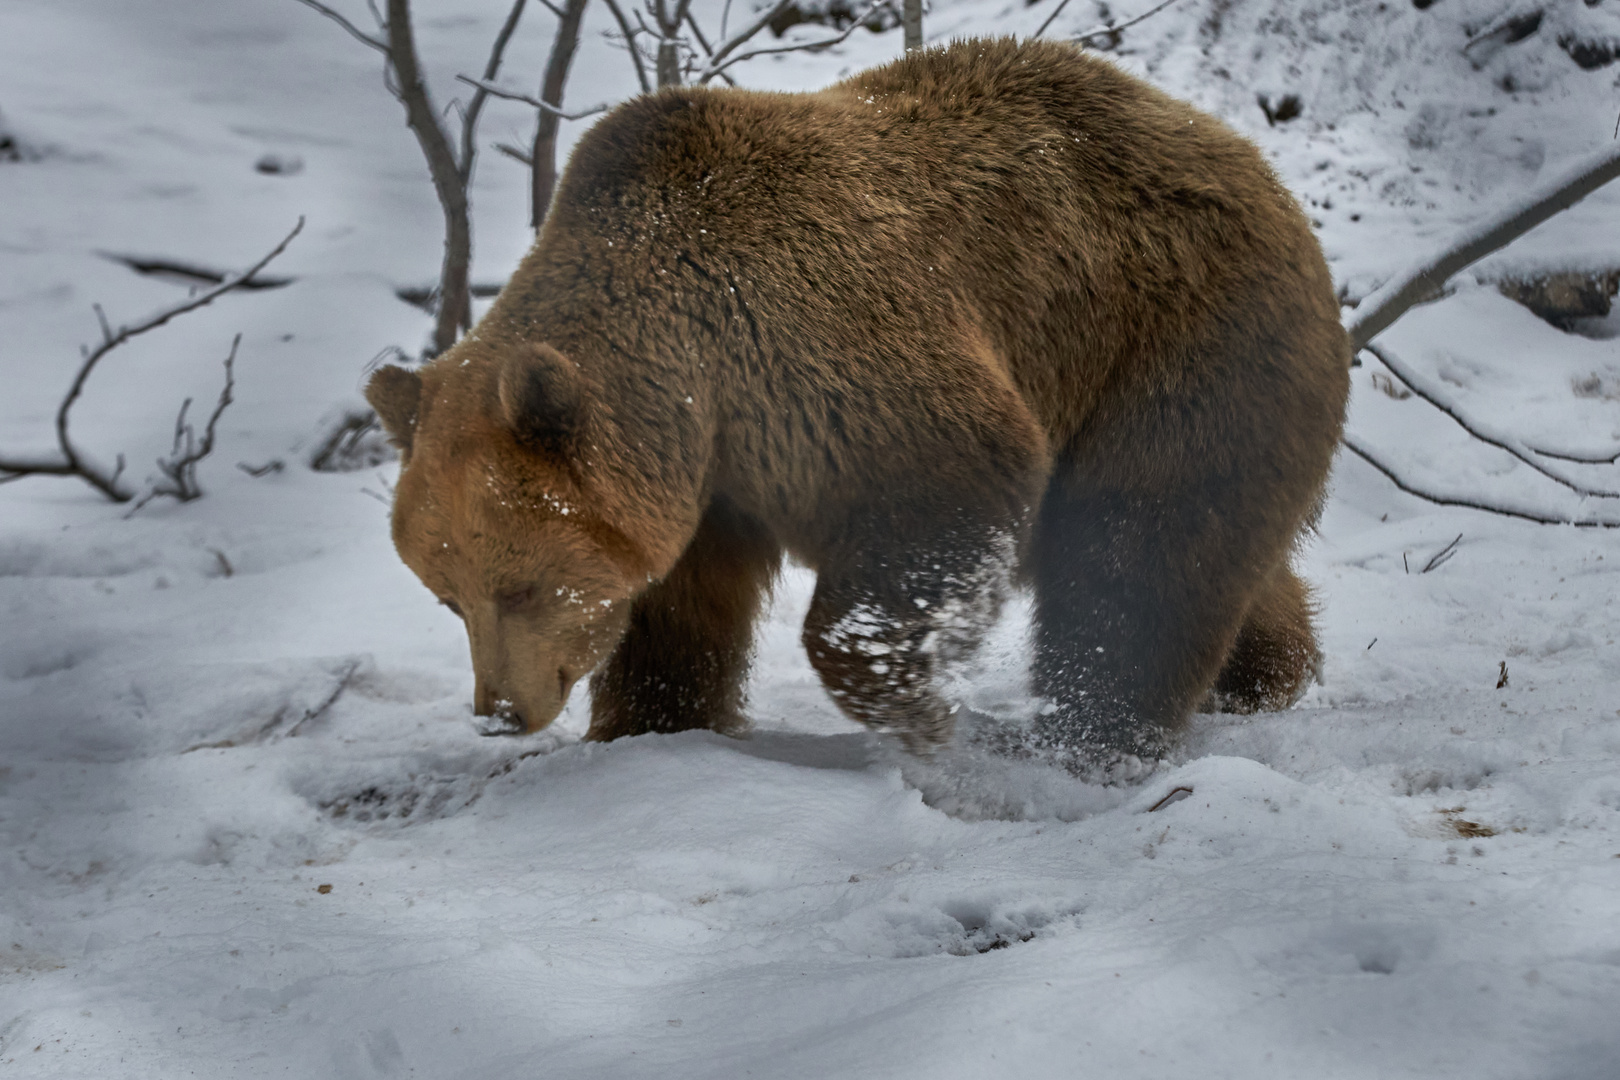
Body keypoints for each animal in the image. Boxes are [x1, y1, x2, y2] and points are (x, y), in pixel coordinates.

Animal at [370, 40, 1354, 761]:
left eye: (524, 584)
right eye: (448, 595)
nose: (500, 709)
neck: (695, 376)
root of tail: (1252, 162)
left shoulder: (816, 355)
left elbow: (944, 489)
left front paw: (910, 695)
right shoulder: (703, 480)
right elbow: (676, 615)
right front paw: (654, 725)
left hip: (1170, 336)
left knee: (1136, 554)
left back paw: (1091, 734)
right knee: (1213, 550)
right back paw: (1265, 671)